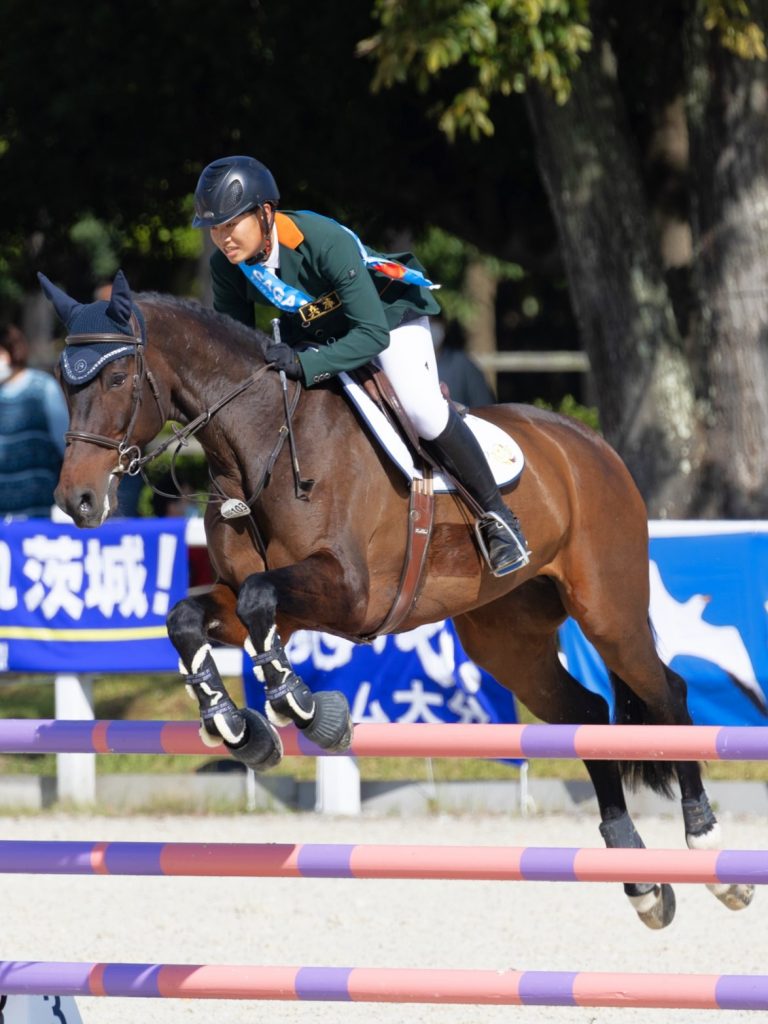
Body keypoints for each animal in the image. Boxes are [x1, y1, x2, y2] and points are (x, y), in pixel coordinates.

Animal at [39, 270, 753, 929]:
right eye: (65, 383)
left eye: (115, 379)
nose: (77, 501)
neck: (260, 443)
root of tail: (592, 444)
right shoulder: (266, 605)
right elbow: (192, 617)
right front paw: (236, 726)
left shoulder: (347, 592)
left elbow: (261, 605)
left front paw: (305, 710)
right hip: (506, 637)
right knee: (585, 713)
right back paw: (639, 876)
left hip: (608, 609)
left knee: (666, 694)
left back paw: (709, 849)